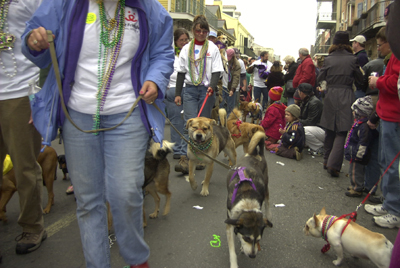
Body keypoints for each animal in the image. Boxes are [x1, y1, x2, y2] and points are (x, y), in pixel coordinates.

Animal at [225, 131, 272, 268]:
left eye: (258, 240)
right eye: (247, 238)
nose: (252, 256)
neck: (247, 204)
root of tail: (256, 153)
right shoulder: (230, 223)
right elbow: (232, 251)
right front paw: (234, 264)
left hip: (266, 186)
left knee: (268, 203)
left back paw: (269, 216)